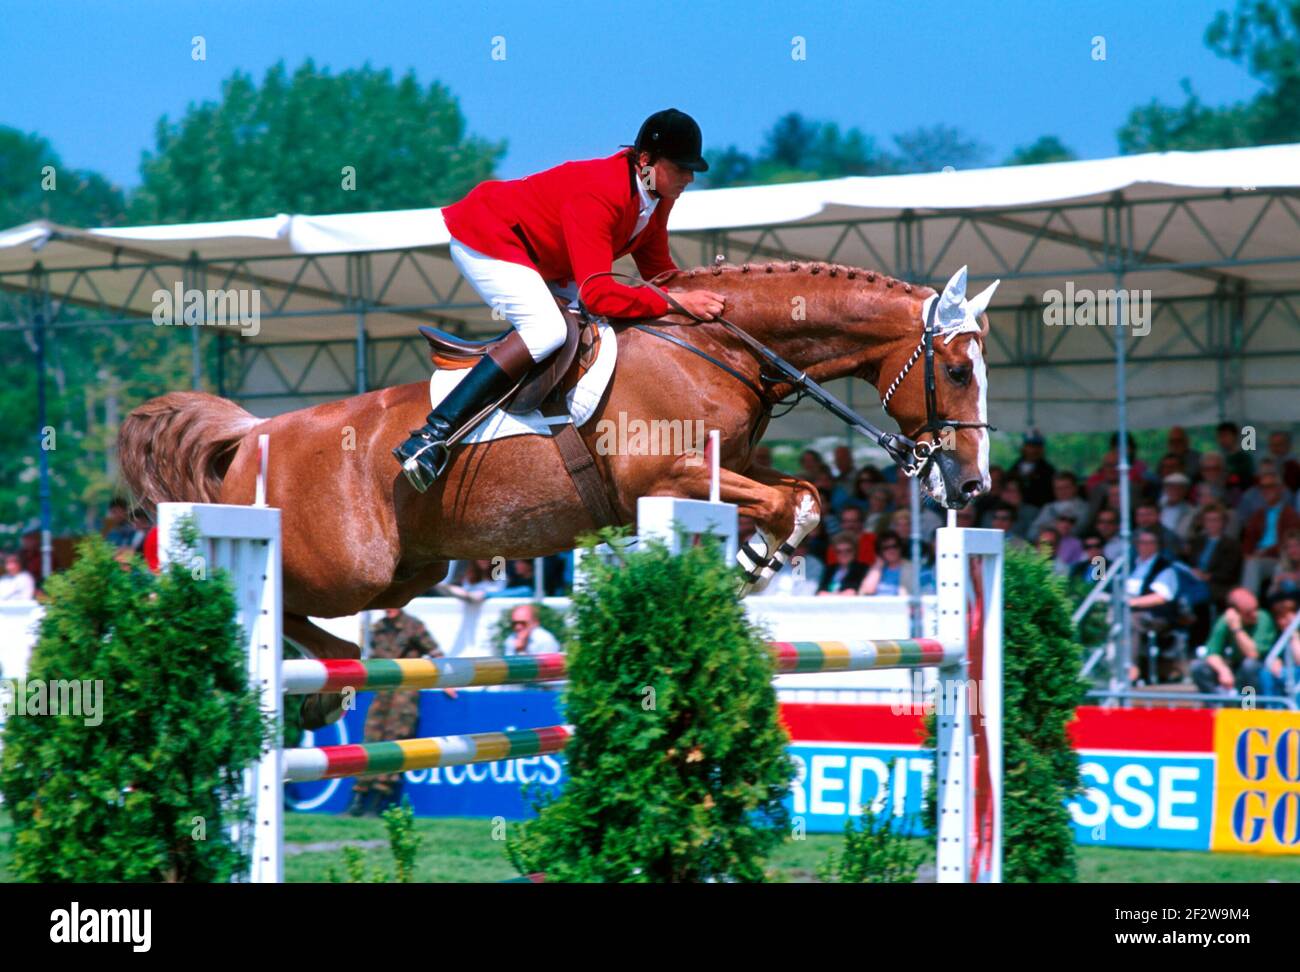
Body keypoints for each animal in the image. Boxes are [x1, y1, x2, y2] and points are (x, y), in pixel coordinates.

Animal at [122, 262, 993, 727]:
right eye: (956, 370)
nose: (973, 483)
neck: (717, 348)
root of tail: (253, 435)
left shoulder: (732, 467)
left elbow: (803, 494)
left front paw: (751, 560)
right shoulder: (663, 479)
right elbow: (789, 503)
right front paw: (750, 562)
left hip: (410, 573)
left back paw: (331, 683)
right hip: (347, 567)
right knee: (263, 594)